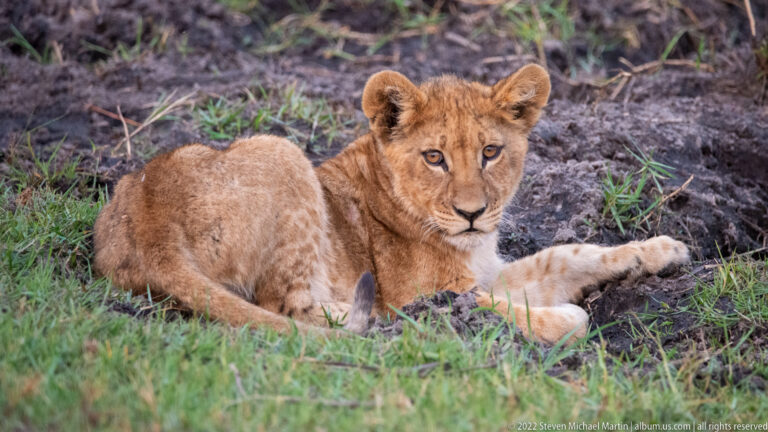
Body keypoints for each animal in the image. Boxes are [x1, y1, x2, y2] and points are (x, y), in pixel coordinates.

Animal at [93, 64, 689, 342]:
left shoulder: (488, 268)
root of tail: (148, 220)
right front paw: (566, 318)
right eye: (434, 157)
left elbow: (567, 254)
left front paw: (662, 251)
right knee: (288, 305)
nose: (472, 213)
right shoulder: (433, 291)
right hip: (281, 151)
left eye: (491, 152)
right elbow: (484, 305)